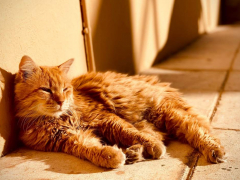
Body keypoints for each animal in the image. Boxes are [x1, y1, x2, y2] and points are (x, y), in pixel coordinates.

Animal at [14, 55, 226, 168]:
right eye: (46, 90)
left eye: (65, 89)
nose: (60, 101)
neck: (59, 118)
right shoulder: (69, 138)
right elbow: (91, 149)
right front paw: (112, 156)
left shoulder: (104, 118)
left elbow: (131, 132)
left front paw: (149, 146)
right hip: (153, 120)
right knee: (160, 135)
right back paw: (133, 153)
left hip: (167, 114)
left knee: (197, 131)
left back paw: (215, 151)